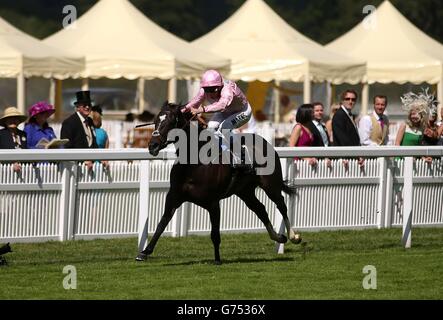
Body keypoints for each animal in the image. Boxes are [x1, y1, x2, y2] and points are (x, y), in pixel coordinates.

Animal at [135, 103, 302, 264]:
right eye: (155, 121)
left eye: (170, 122)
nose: (153, 146)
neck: (193, 164)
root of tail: (267, 143)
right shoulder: (174, 197)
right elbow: (161, 224)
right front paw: (144, 252)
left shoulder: (213, 202)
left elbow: (215, 233)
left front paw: (217, 259)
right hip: (245, 191)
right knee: (260, 209)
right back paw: (279, 237)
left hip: (270, 185)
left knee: (281, 204)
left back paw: (294, 236)